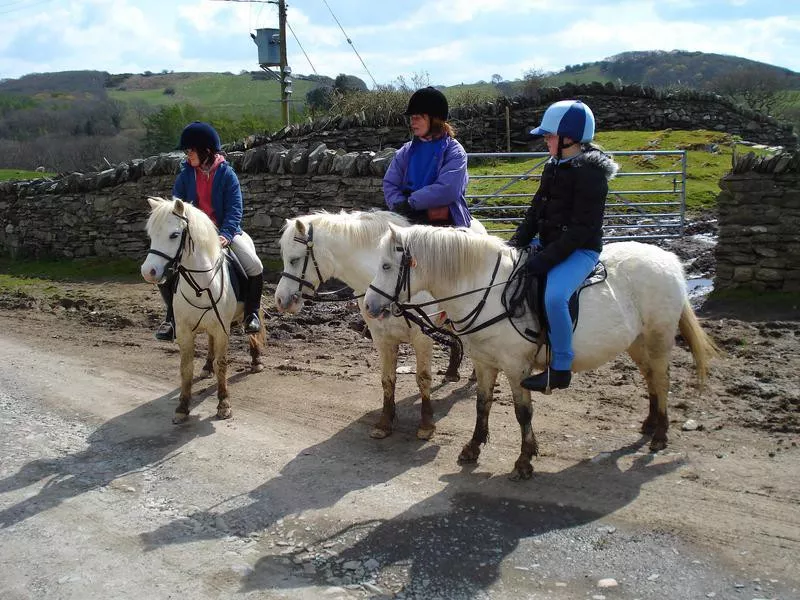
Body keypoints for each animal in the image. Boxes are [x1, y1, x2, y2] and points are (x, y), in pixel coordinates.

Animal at [142, 197, 268, 422]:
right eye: (151, 235)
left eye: (174, 235)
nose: (148, 272)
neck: (200, 286)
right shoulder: (184, 331)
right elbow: (186, 368)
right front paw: (182, 407)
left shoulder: (222, 330)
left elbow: (222, 364)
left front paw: (223, 404)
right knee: (209, 344)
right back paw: (207, 367)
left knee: (252, 332)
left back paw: (255, 361)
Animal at [276, 211, 488, 440]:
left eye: (294, 259)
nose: (280, 300)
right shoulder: (382, 339)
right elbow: (387, 380)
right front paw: (385, 423)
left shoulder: (421, 339)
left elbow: (423, 378)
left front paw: (426, 424)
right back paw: (452, 370)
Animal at [362, 223, 720, 480]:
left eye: (386, 265)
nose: (369, 307)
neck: (486, 291)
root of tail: (670, 260)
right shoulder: (484, 362)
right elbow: (482, 405)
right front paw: (473, 447)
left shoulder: (516, 367)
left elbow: (523, 413)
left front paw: (523, 461)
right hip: (637, 341)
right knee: (650, 379)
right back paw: (649, 424)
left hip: (658, 338)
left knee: (661, 380)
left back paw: (660, 434)